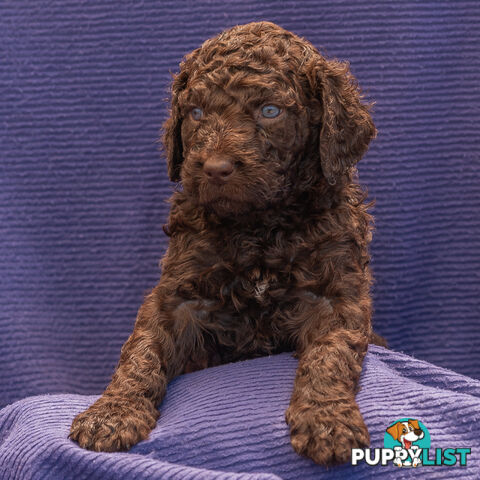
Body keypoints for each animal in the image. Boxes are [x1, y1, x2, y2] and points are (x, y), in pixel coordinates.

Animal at [69, 19, 380, 464]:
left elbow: (329, 354)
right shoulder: (178, 295)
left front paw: (327, 420)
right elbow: (142, 349)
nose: (215, 169)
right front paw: (111, 413)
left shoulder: (335, 295)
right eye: (195, 113)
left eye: (269, 111)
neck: (258, 226)